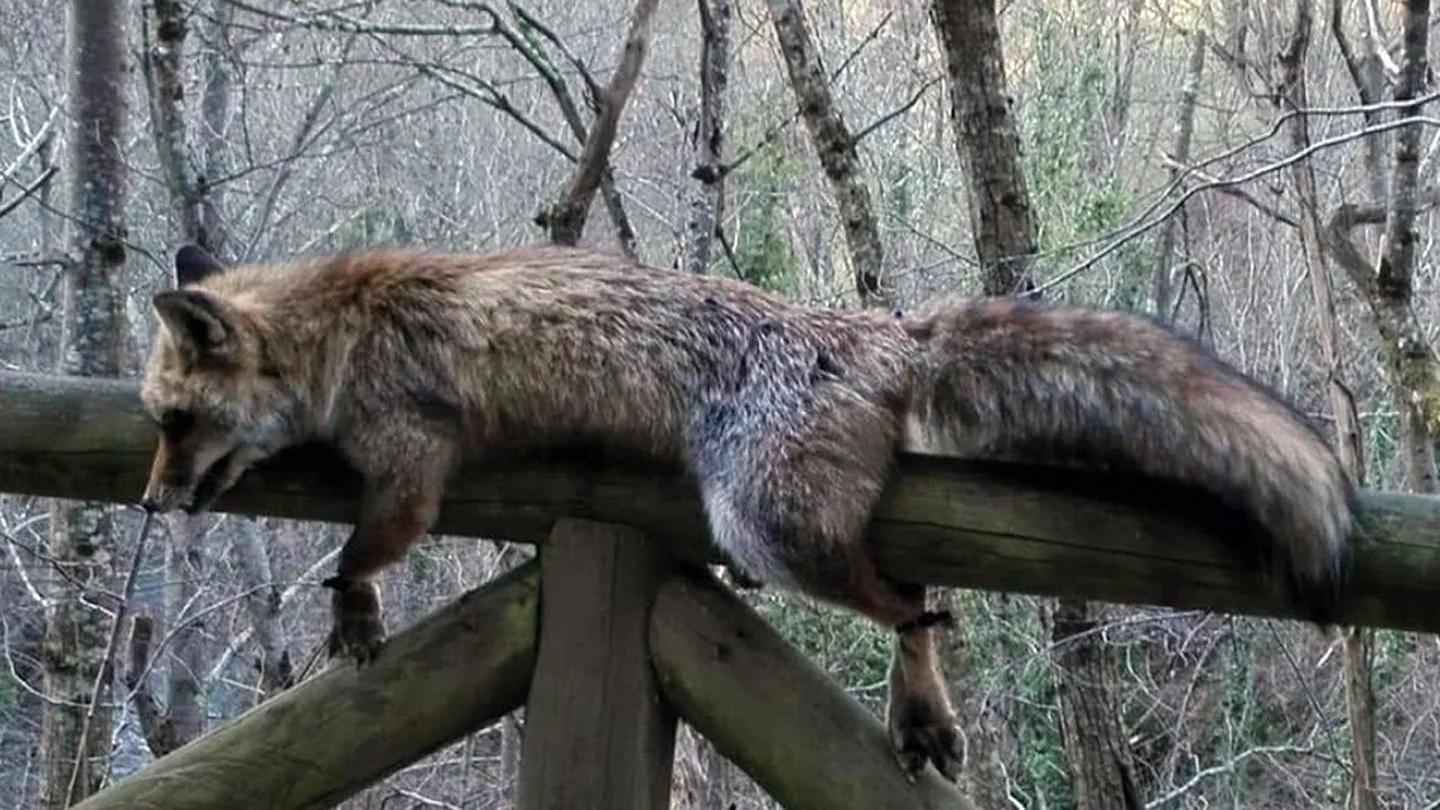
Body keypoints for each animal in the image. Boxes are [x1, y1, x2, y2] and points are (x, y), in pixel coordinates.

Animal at [138, 242, 1355, 783]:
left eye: (174, 422)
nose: (152, 503)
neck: (341, 327)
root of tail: (878, 330)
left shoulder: (413, 459)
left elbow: (364, 547)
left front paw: (351, 609)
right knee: (922, 596)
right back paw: (919, 714)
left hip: (763, 521)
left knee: (914, 600)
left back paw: (916, 689)